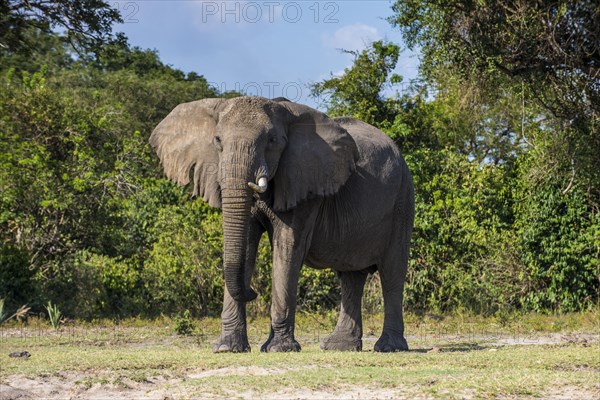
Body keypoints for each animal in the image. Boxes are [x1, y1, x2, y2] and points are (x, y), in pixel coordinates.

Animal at [149, 97, 412, 354]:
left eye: (272, 141)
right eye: (217, 140)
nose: (252, 292)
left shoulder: (303, 183)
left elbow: (287, 246)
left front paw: (278, 348)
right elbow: (246, 246)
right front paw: (226, 348)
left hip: (402, 199)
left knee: (391, 272)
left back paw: (388, 347)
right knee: (350, 276)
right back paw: (339, 347)